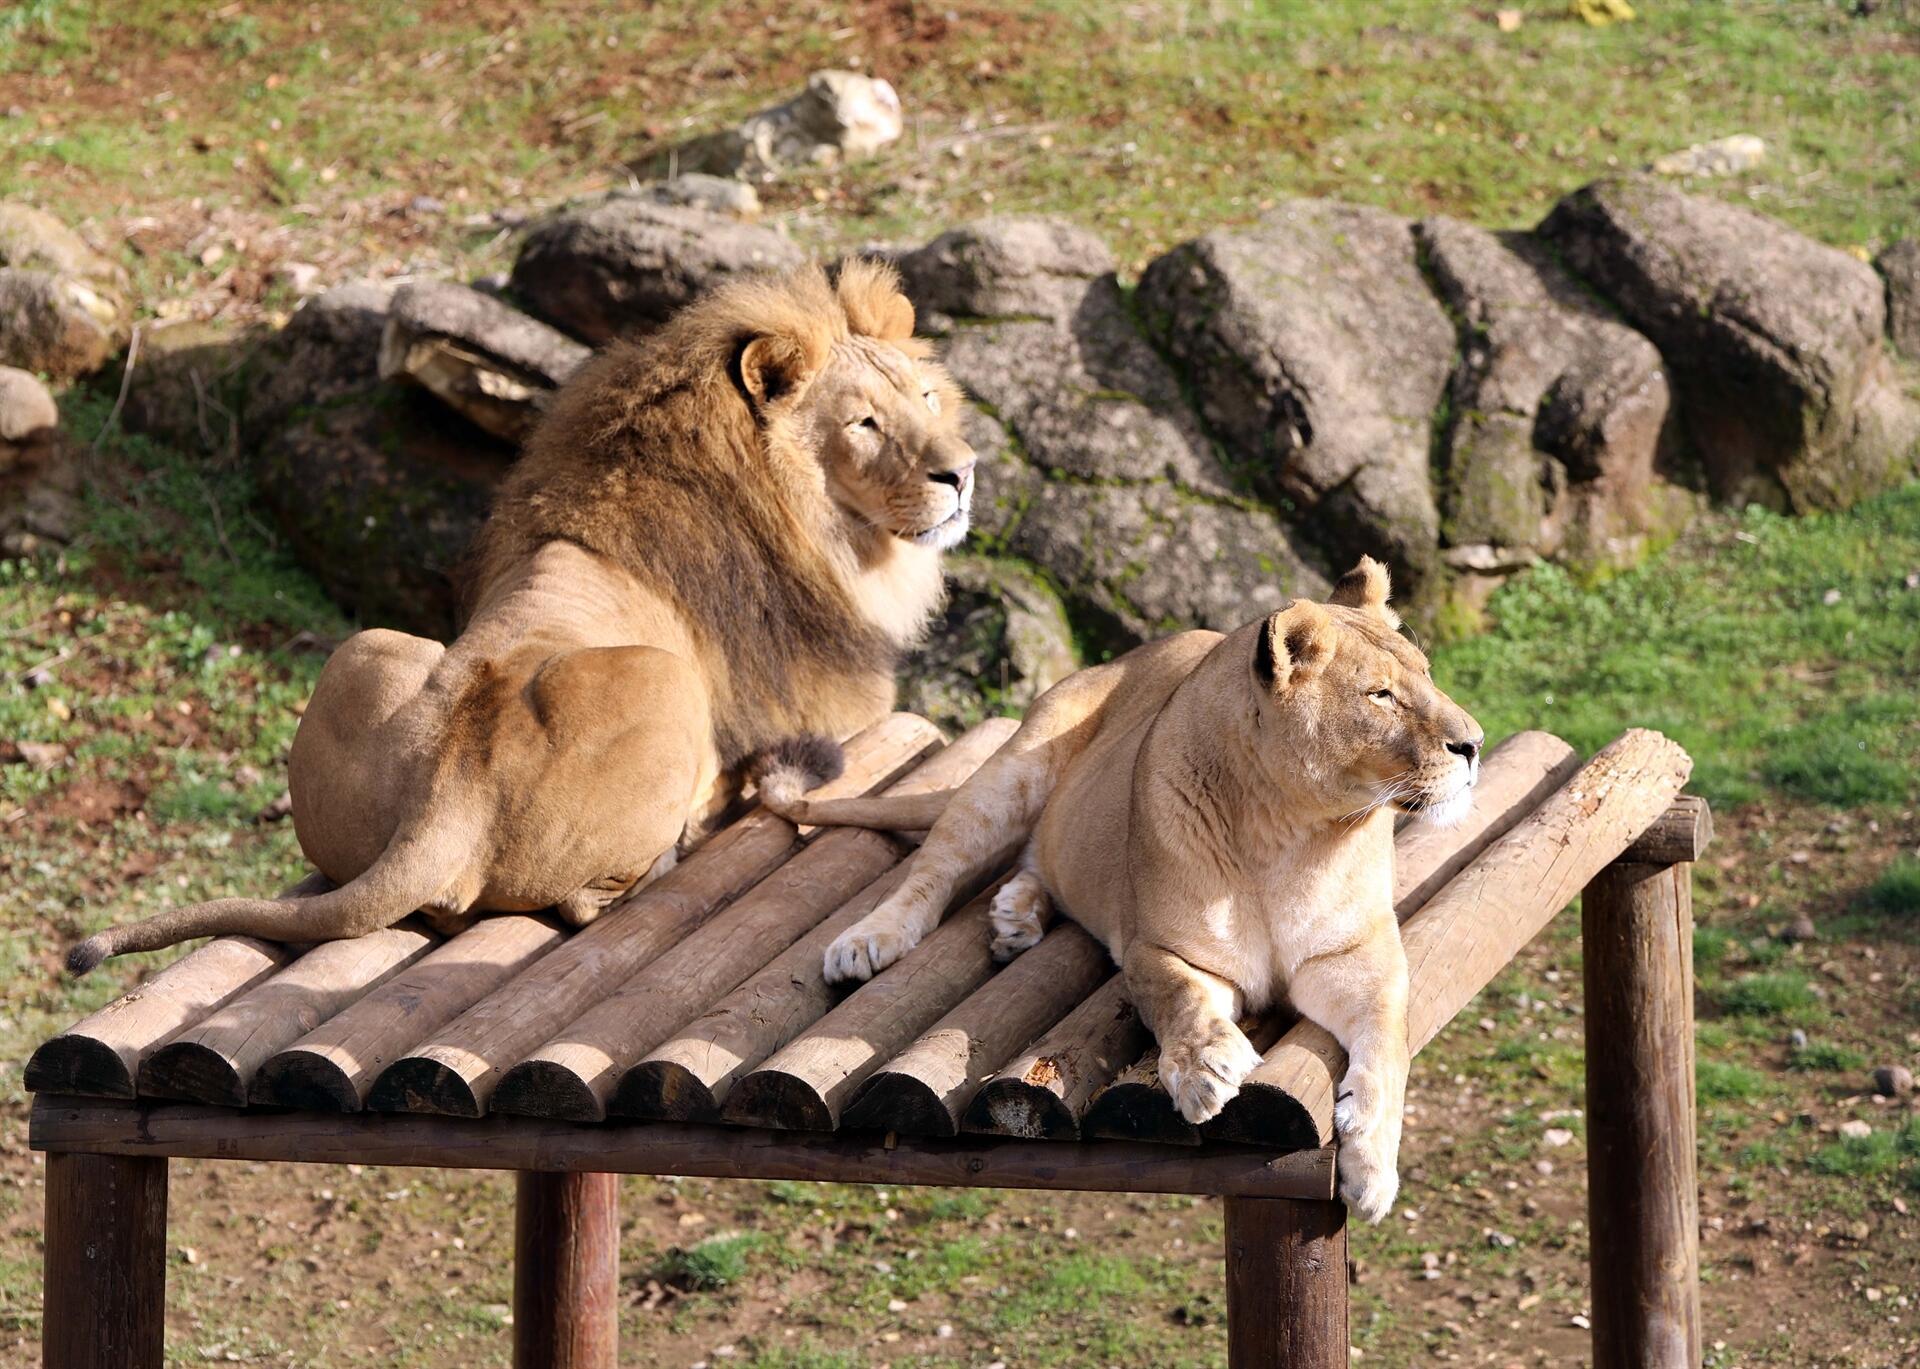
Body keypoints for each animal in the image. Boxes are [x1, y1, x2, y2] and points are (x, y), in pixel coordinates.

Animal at [71, 261, 975, 971]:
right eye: (865, 423)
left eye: (928, 396)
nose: (963, 472)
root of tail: (447, 798)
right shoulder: (843, 709)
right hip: (665, 678)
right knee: (585, 900)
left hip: (370, 646)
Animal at [764, 556, 1482, 1221]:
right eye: (1381, 695)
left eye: (1428, 673)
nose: (1473, 743)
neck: (1294, 836)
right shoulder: (1157, 948)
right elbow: (1180, 995)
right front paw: (1206, 1067)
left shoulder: (1359, 961)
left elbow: (1388, 1048)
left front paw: (1372, 1169)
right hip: (1010, 774)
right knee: (933, 870)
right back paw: (872, 939)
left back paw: (1016, 917)